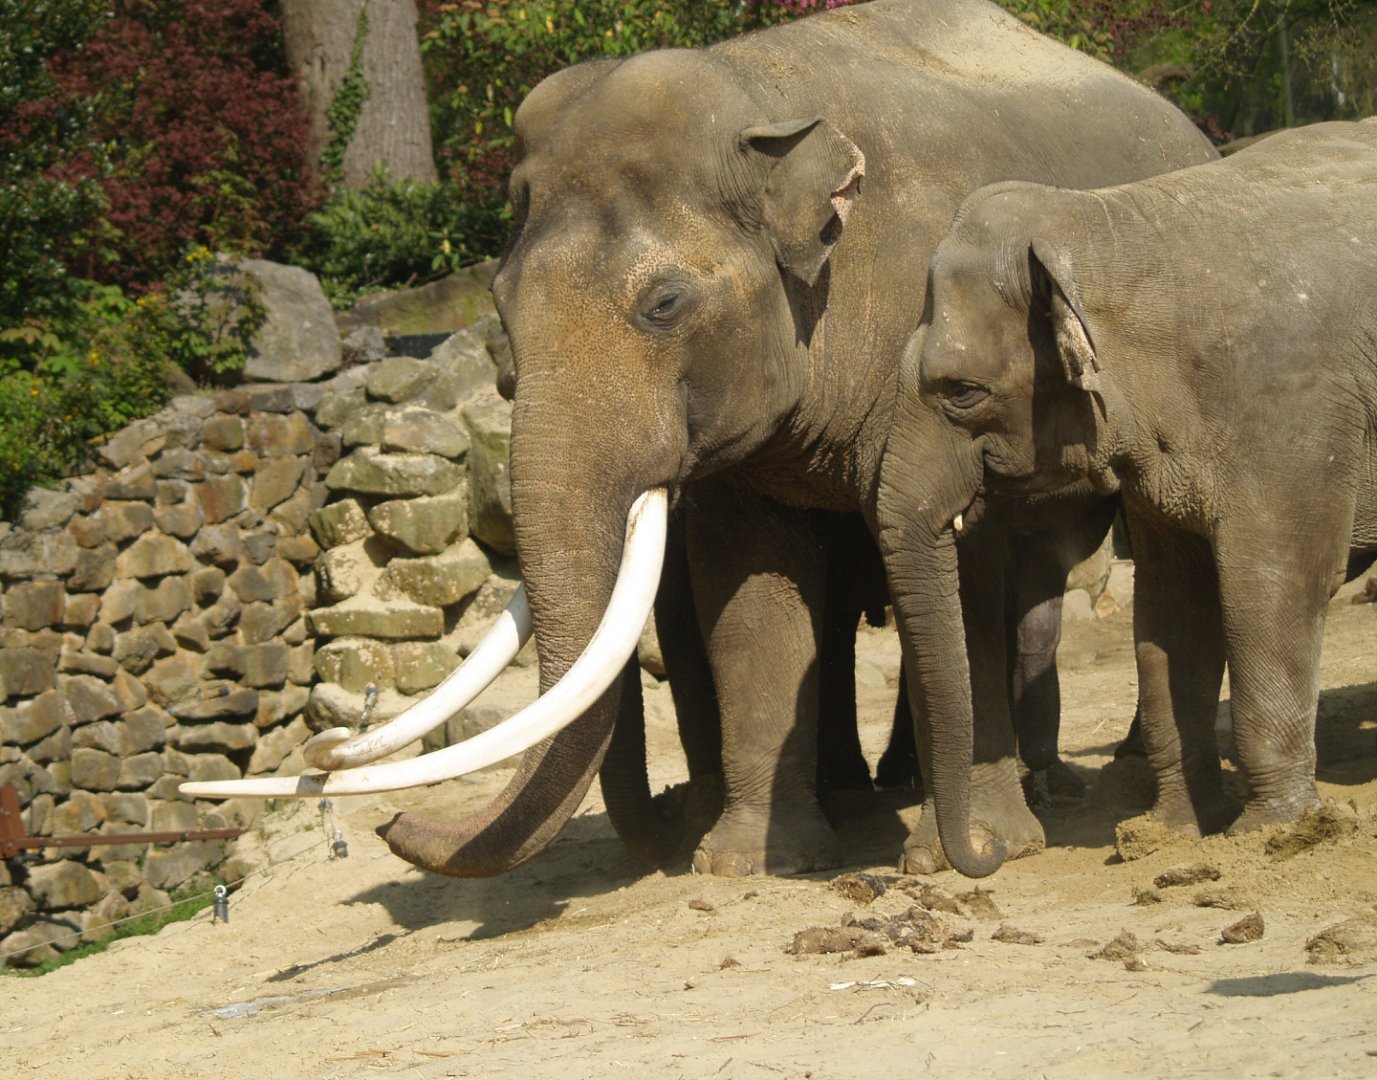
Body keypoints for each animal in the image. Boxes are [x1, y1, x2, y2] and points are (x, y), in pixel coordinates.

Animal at [183, 0, 1216, 878]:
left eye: (663, 304)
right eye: (500, 309)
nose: (386, 823)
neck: (760, 97)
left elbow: (969, 573)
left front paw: (976, 844)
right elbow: (747, 587)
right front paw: (748, 861)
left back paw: (1103, 783)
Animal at [876, 119, 1377, 878]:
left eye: (961, 391)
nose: (987, 854)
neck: (1110, 224)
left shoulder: (1292, 417)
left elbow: (1273, 591)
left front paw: (1272, 834)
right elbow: (1172, 611)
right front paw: (1170, 833)